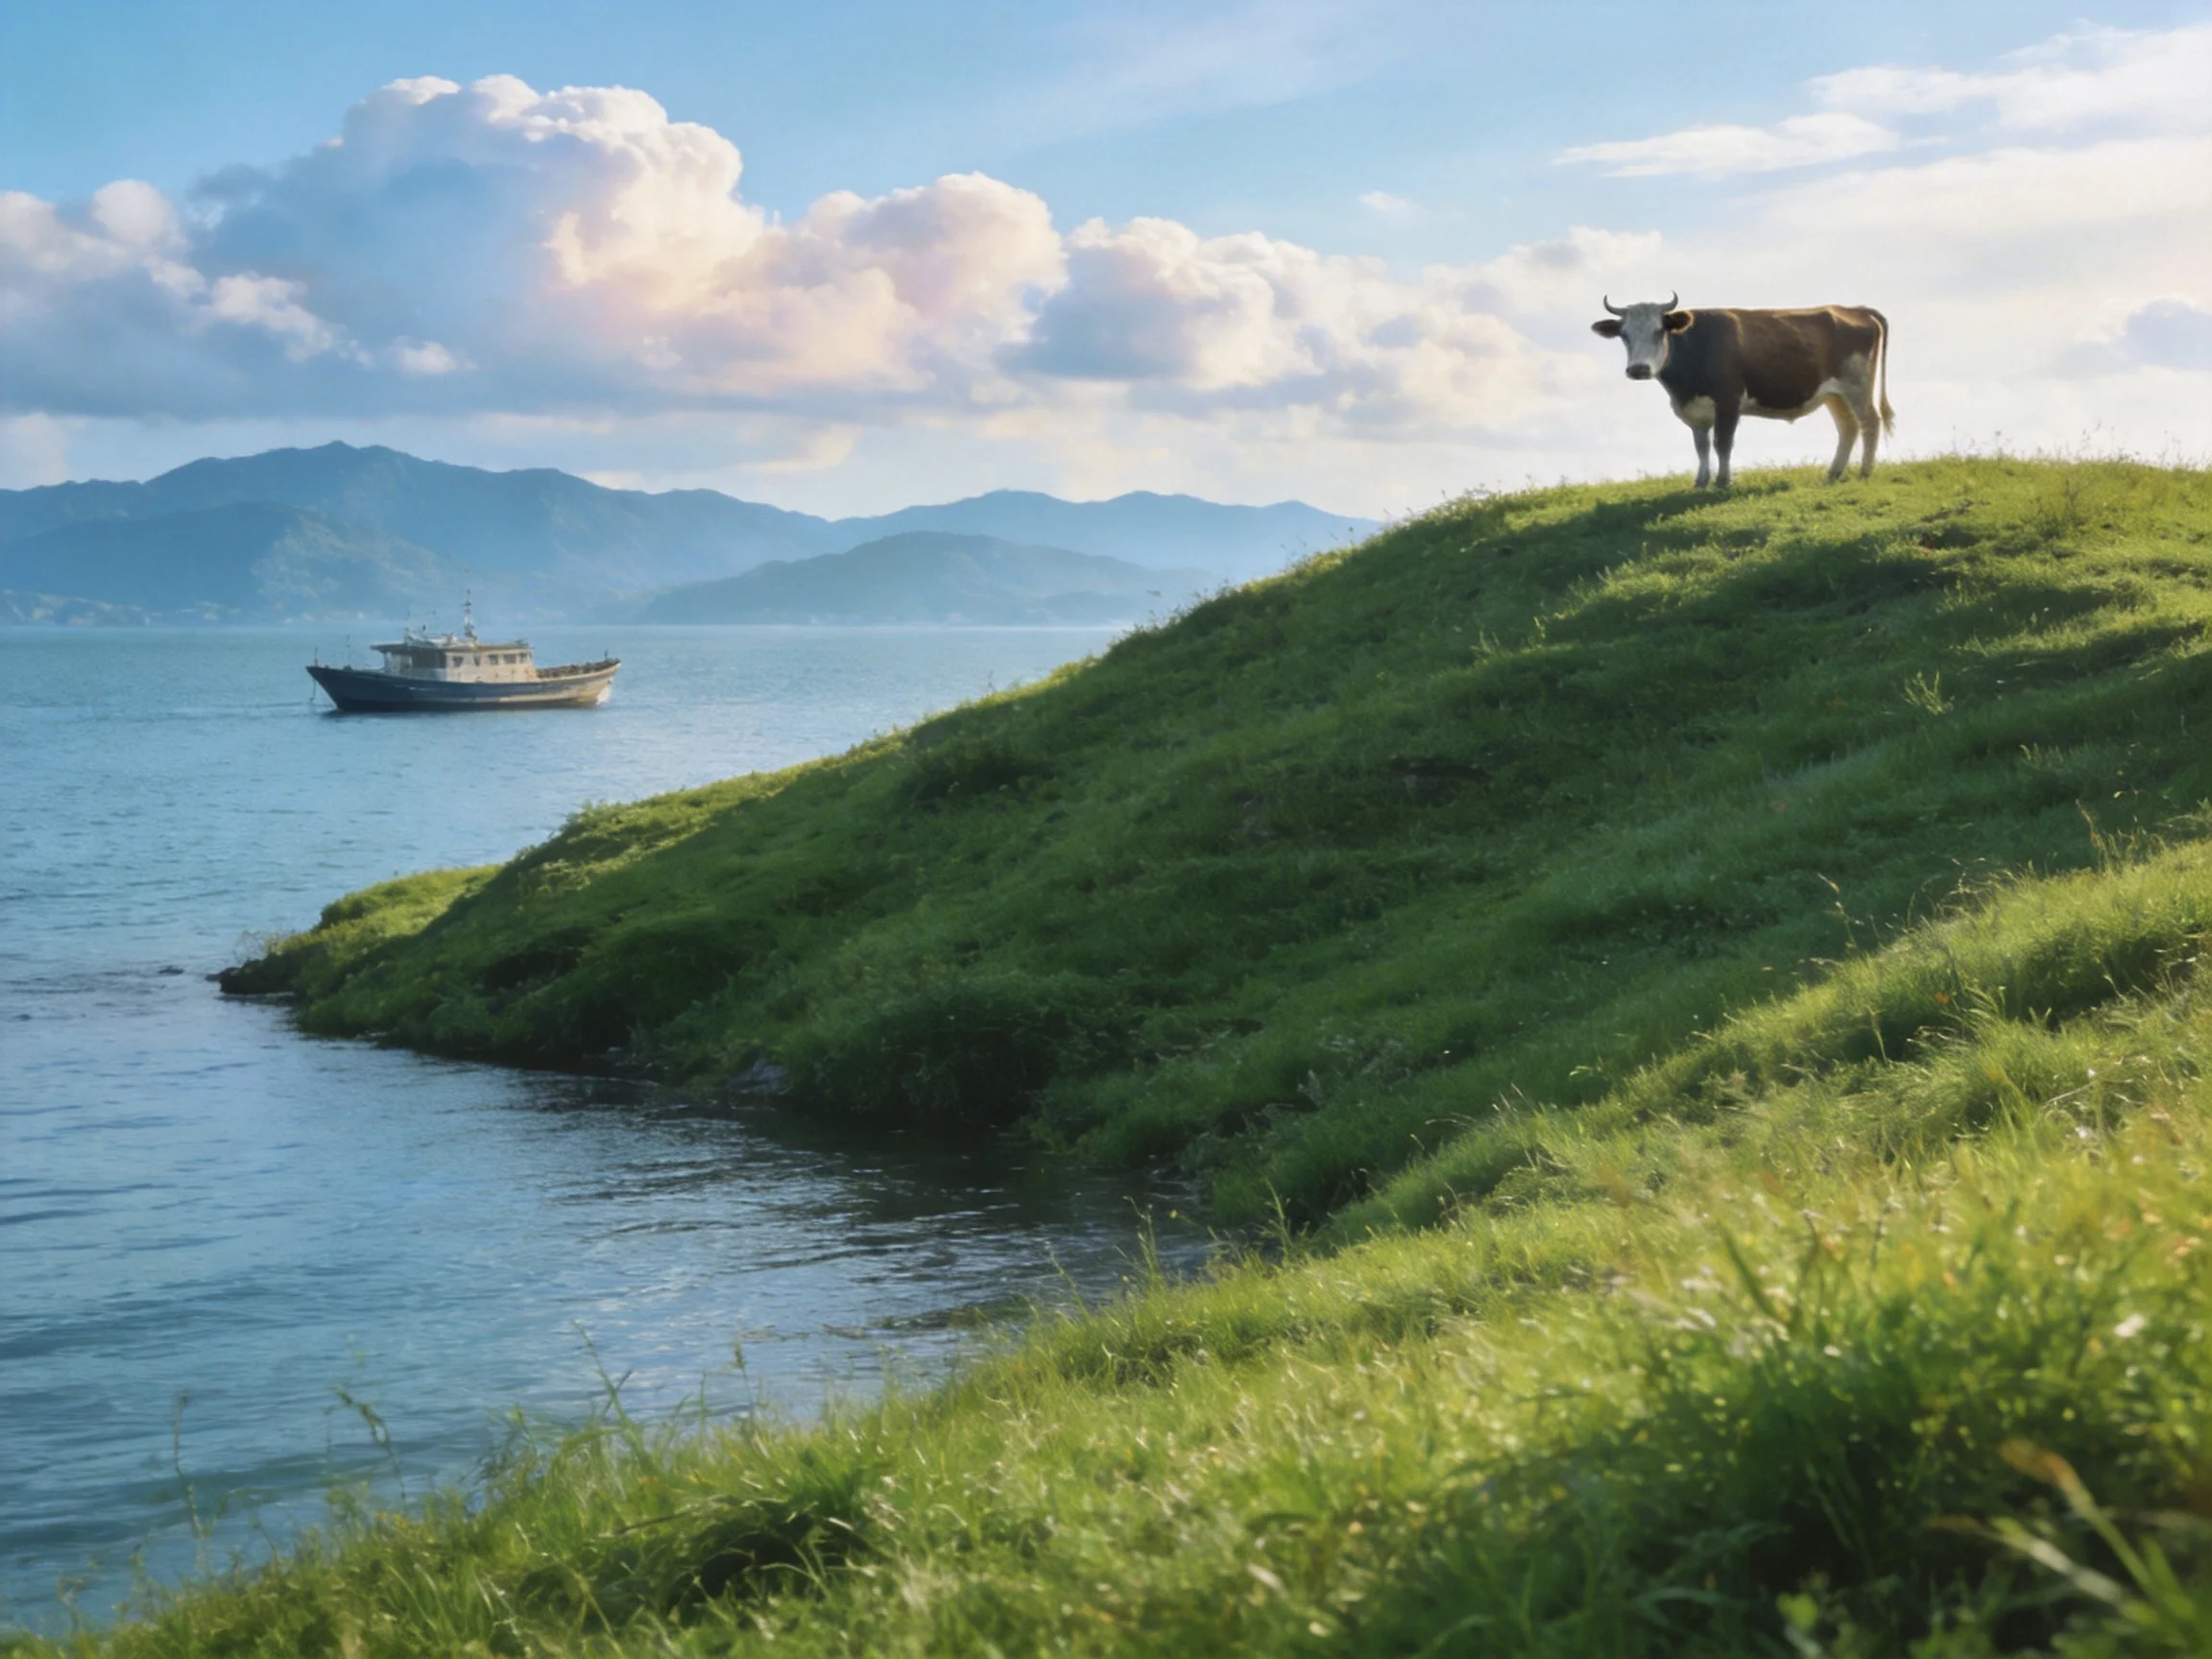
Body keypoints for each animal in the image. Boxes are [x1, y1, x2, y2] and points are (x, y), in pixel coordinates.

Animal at [1591, 295, 1893, 489]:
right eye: (1624, 335)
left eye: (1659, 331)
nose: (1638, 369)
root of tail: (1855, 309)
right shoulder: (1694, 410)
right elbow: (1701, 446)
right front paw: (1701, 482)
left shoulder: (1729, 401)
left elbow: (1722, 443)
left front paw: (1724, 481)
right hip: (1834, 394)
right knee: (1848, 427)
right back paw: (1834, 474)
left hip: (1857, 385)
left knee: (1870, 422)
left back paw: (1865, 472)